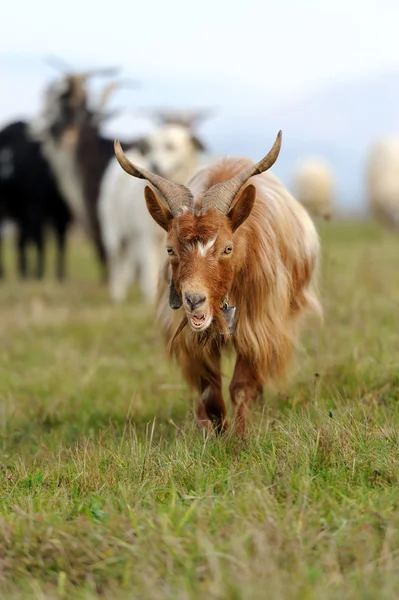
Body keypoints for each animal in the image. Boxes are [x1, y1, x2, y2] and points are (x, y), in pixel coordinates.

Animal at [99, 118, 211, 304]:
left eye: (170, 146)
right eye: (151, 148)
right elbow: (150, 270)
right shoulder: (148, 239)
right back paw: (118, 295)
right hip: (115, 234)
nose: (154, 164)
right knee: (117, 262)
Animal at [114, 131, 324, 434]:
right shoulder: (191, 337)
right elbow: (208, 389)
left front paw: (239, 437)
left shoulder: (258, 326)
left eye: (227, 248)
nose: (194, 299)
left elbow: (241, 386)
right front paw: (212, 432)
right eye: (170, 249)